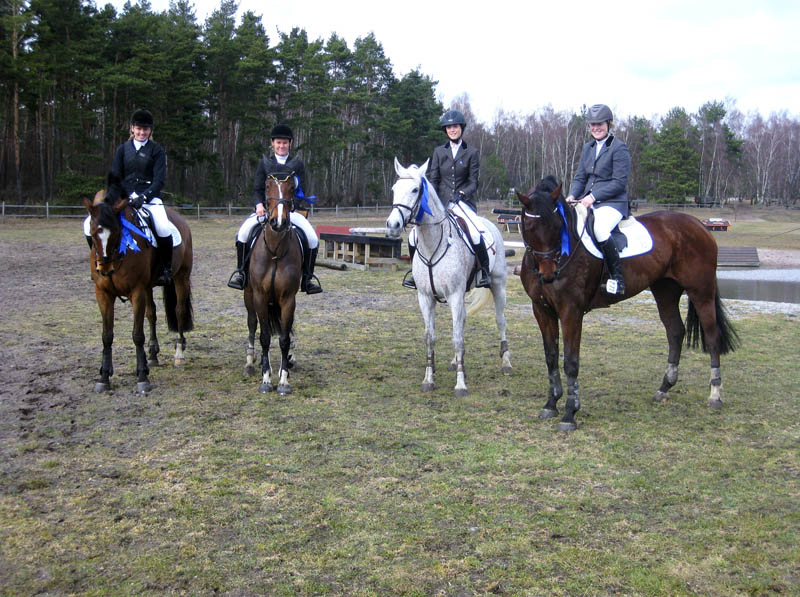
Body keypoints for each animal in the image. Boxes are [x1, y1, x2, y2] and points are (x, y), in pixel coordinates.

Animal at [83, 174, 194, 393]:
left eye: (117, 231)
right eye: (92, 232)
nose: (105, 269)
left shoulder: (137, 291)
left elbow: (137, 335)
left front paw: (142, 377)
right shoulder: (103, 293)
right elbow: (107, 335)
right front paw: (104, 377)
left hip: (181, 277)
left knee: (179, 311)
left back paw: (179, 353)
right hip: (149, 286)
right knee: (152, 314)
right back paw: (153, 355)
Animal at [242, 169, 303, 394]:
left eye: (292, 188)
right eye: (267, 186)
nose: (278, 222)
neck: (275, 251)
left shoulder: (288, 299)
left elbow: (284, 339)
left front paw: (283, 380)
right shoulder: (259, 296)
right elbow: (265, 337)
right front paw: (266, 379)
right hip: (249, 296)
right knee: (253, 324)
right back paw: (251, 363)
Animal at [386, 157, 512, 397]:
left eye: (415, 190)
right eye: (394, 189)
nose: (392, 226)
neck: (433, 244)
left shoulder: (454, 295)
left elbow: (457, 338)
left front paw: (460, 385)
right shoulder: (425, 297)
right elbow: (430, 337)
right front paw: (428, 379)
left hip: (498, 284)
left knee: (500, 320)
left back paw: (506, 363)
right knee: (461, 322)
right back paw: (455, 361)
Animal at [517, 176, 739, 431]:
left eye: (557, 226)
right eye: (529, 227)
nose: (549, 275)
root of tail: (699, 225)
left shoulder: (571, 311)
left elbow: (571, 361)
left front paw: (570, 413)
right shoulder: (542, 310)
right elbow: (551, 357)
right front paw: (551, 403)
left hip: (700, 292)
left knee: (712, 338)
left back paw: (715, 396)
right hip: (665, 291)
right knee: (675, 332)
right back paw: (664, 388)